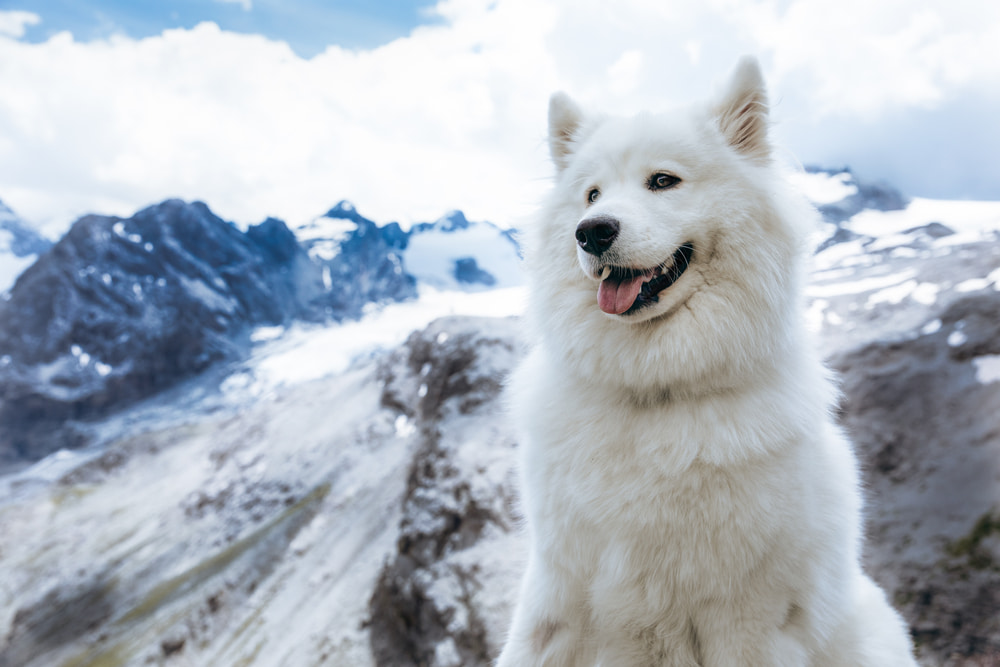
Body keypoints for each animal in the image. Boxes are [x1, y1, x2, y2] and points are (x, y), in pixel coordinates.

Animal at [496, 58, 916, 667]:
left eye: (663, 181)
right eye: (591, 194)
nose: (592, 231)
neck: (655, 391)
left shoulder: (746, 619)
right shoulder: (560, 597)